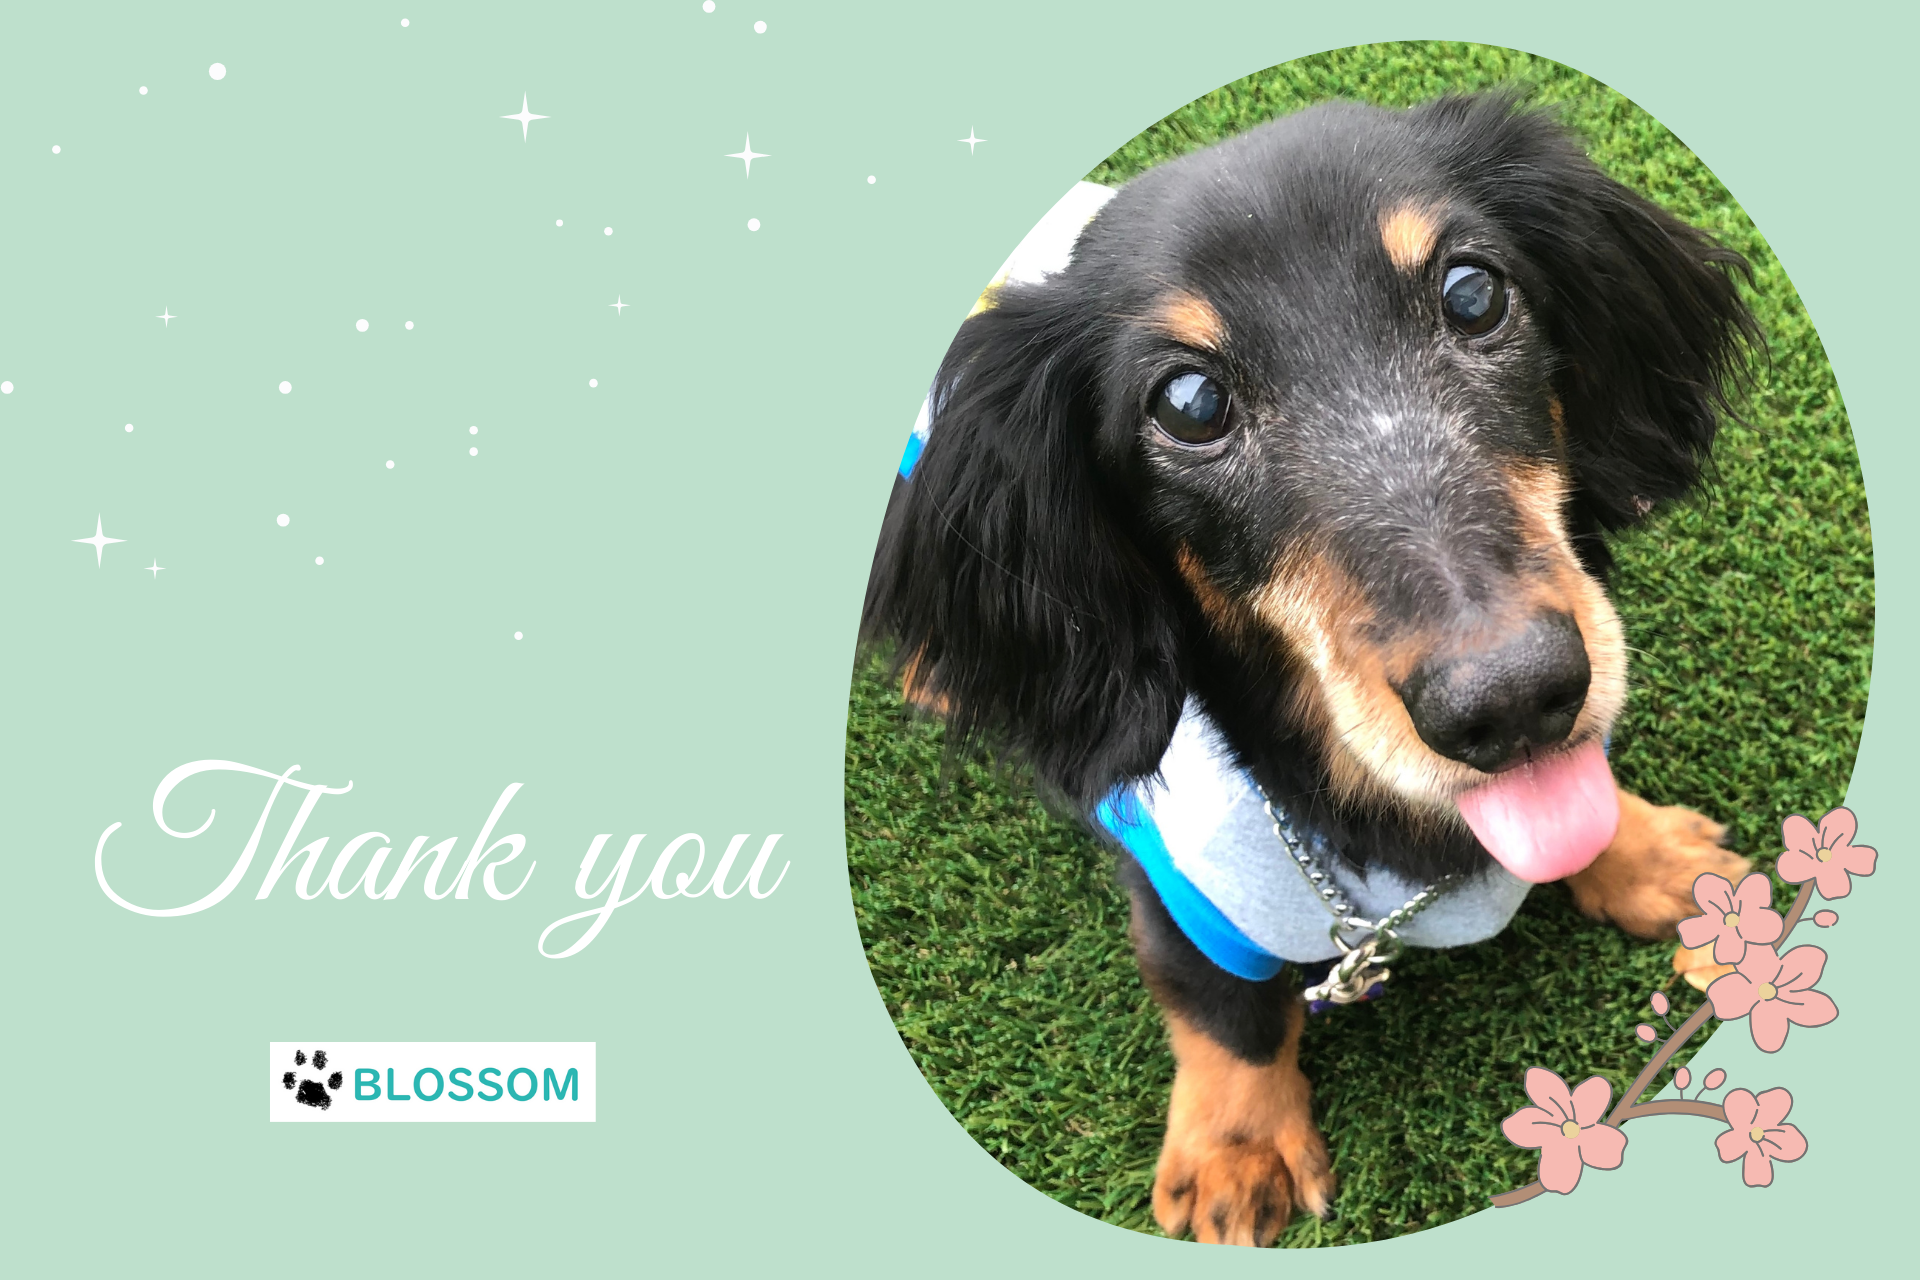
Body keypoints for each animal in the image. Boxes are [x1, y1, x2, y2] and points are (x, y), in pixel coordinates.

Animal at [862, 93, 1757, 1246]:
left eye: (1474, 293)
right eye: (1188, 402)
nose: (1514, 699)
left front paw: (1646, 853)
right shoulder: (1181, 888)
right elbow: (1221, 1008)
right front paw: (1235, 1148)